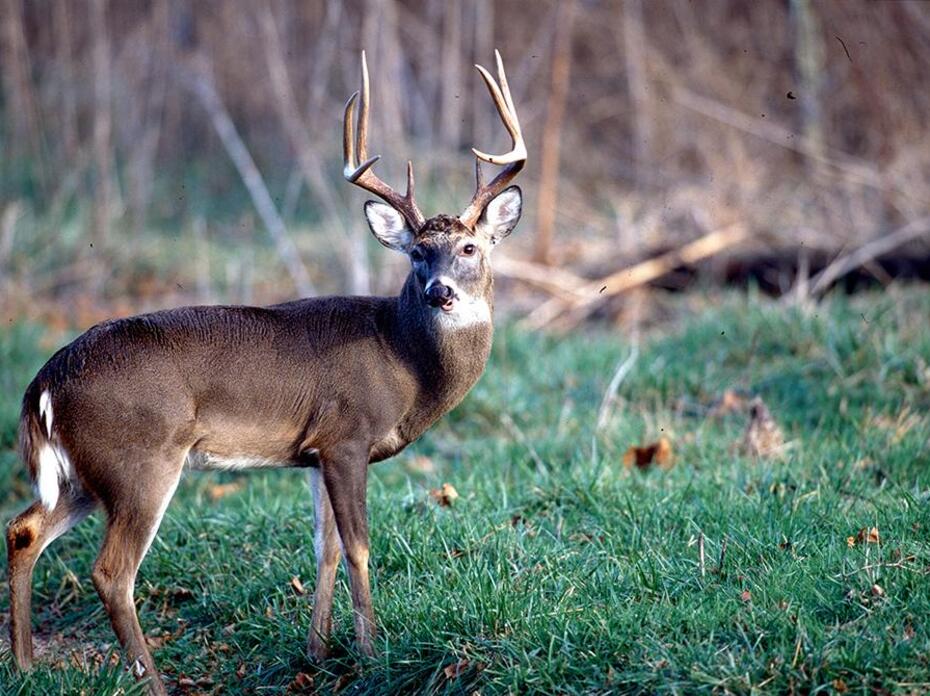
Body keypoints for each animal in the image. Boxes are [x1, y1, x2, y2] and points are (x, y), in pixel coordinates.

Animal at [5, 50, 525, 694]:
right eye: (417, 253)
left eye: (470, 248)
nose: (439, 292)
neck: (405, 362)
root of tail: (44, 383)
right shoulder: (347, 435)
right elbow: (358, 547)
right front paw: (372, 654)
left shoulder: (317, 451)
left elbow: (325, 548)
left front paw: (318, 652)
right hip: (139, 458)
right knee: (111, 571)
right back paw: (150, 680)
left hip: (81, 471)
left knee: (23, 530)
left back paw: (25, 665)